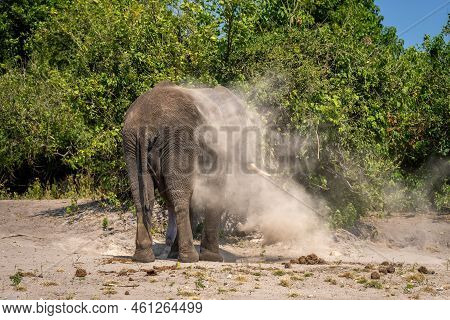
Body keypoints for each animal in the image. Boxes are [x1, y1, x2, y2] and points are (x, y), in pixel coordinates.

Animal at [122, 81, 253, 264]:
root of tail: (145, 128)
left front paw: (174, 254)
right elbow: (215, 189)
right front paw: (213, 258)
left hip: (131, 145)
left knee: (142, 195)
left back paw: (143, 258)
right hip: (179, 139)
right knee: (180, 195)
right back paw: (189, 258)